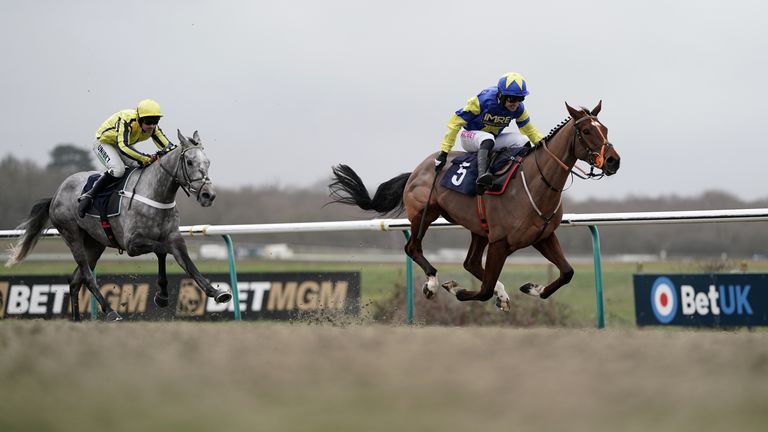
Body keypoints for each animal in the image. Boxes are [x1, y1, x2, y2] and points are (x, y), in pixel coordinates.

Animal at [5, 131, 231, 320]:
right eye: (190, 161)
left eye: (207, 162)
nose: (208, 195)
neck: (156, 193)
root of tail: (56, 194)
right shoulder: (132, 243)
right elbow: (162, 250)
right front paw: (162, 295)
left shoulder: (173, 237)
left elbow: (187, 263)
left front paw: (216, 292)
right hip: (72, 235)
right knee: (87, 276)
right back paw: (110, 311)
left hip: (95, 244)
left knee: (75, 280)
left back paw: (77, 321)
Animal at [328, 101, 616, 310]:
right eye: (587, 131)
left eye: (605, 129)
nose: (614, 160)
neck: (537, 182)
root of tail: (418, 169)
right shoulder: (500, 242)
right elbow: (484, 290)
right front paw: (455, 289)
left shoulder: (543, 236)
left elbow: (567, 272)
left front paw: (533, 289)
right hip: (424, 214)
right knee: (413, 248)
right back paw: (432, 283)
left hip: (479, 228)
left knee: (471, 263)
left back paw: (501, 294)